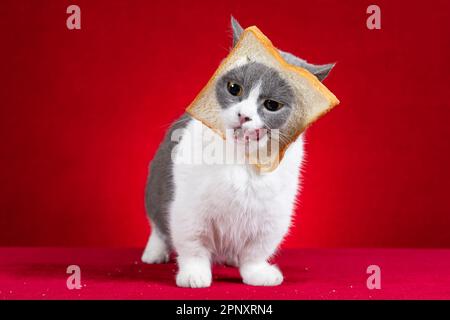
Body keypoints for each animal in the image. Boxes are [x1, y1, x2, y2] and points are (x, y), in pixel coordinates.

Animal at [142, 16, 334, 288]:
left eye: (272, 105)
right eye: (235, 88)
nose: (244, 115)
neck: (241, 159)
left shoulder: (271, 216)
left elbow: (256, 250)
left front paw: (258, 273)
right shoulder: (188, 209)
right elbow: (193, 244)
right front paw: (194, 275)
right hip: (155, 190)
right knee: (158, 226)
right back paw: (154, 253)